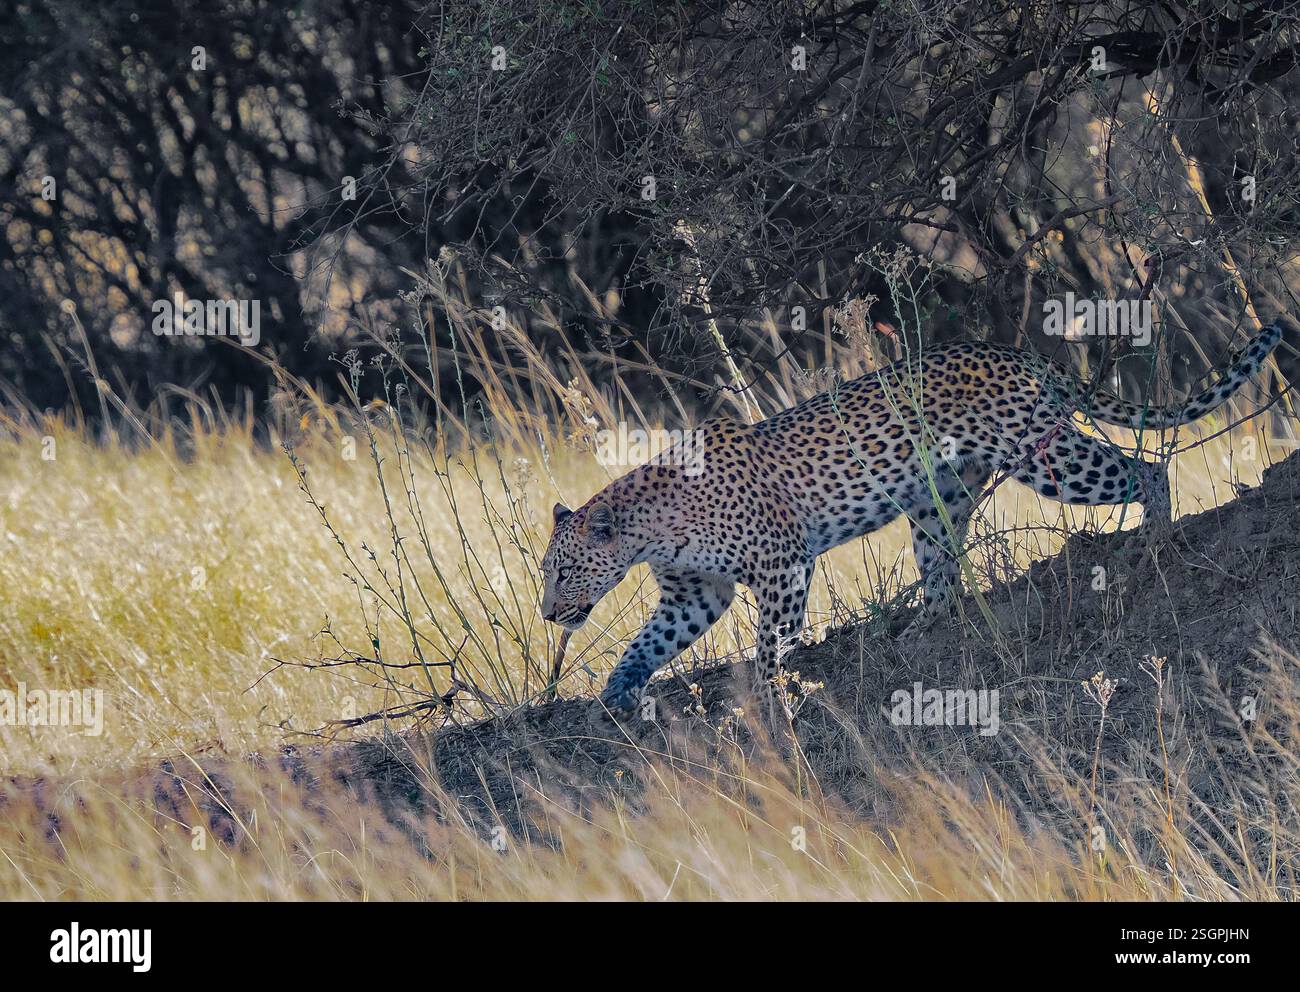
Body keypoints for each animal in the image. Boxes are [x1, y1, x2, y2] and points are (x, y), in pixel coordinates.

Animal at [540, 321, 1285, 716]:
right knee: (944, 571)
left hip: (1045, 459)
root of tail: (1018, 352)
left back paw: (1154, 538)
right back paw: (923, 624)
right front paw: (616, 691)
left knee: (1144, 468)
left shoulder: (781, 564)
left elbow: (773, 638)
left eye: (565, 570)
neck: (648, 530)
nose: (549, 613)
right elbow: (648, 642)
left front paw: (770, 685)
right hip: (939, 502)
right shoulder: (695, 593)